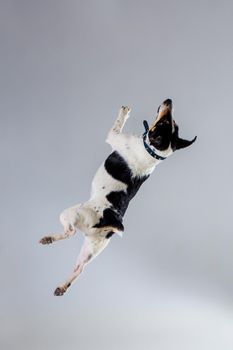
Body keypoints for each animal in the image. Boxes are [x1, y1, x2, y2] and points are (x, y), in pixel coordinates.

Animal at [39, 98, 196, 296]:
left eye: (164, 123)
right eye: (171, 122)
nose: (169, 101)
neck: (152, 152)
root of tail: (112, 220)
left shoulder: (113, 136)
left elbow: (117, 124)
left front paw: (124, 112)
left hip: (70, 214)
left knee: (70, 232)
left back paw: (51, 238)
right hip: (93, 247)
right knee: (80, 268)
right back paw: (61, 284)